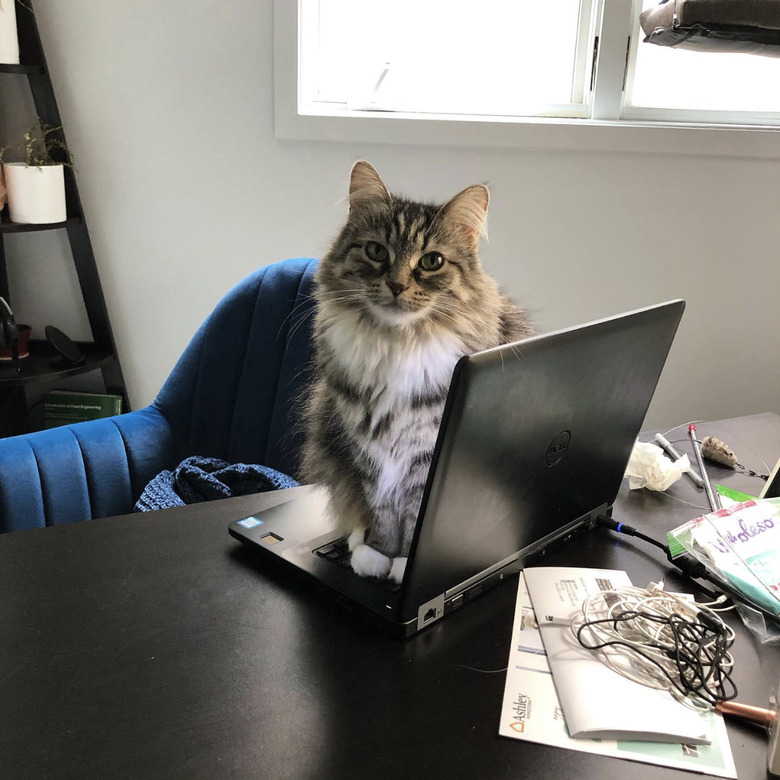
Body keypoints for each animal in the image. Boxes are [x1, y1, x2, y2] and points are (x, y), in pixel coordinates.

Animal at [302, 161, 532, 580]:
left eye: (432, 262)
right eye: (376, 251)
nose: (395, 285)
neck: (397, 344)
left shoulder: (426, 452)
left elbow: (414, 512)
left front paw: (404, 562)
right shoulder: (367, 444)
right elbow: (381, 504)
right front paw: (378, 553)